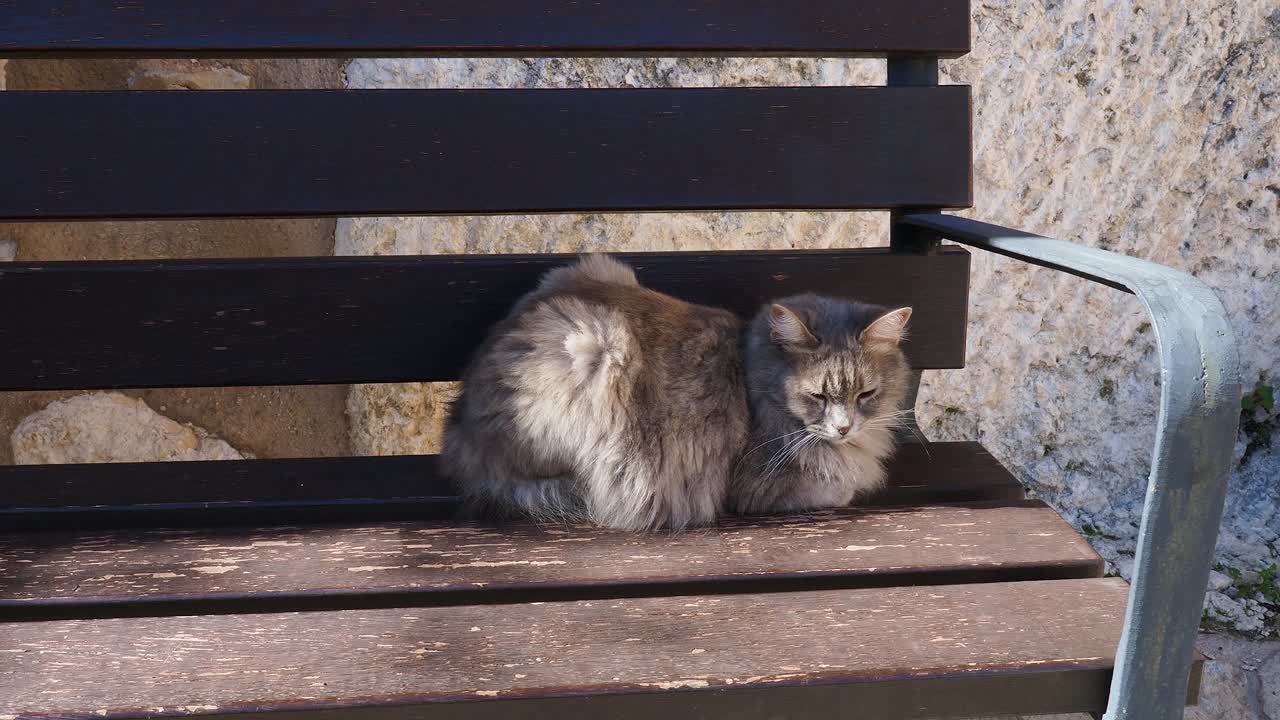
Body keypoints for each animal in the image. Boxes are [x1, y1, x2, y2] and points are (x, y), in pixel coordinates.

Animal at [440, 252, 911, 527]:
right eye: (817, 396)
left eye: (865, 395)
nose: (844, 428)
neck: (753, 377)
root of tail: (459, 423)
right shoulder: (760, 486)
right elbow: (843, 487)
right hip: (593, 345)